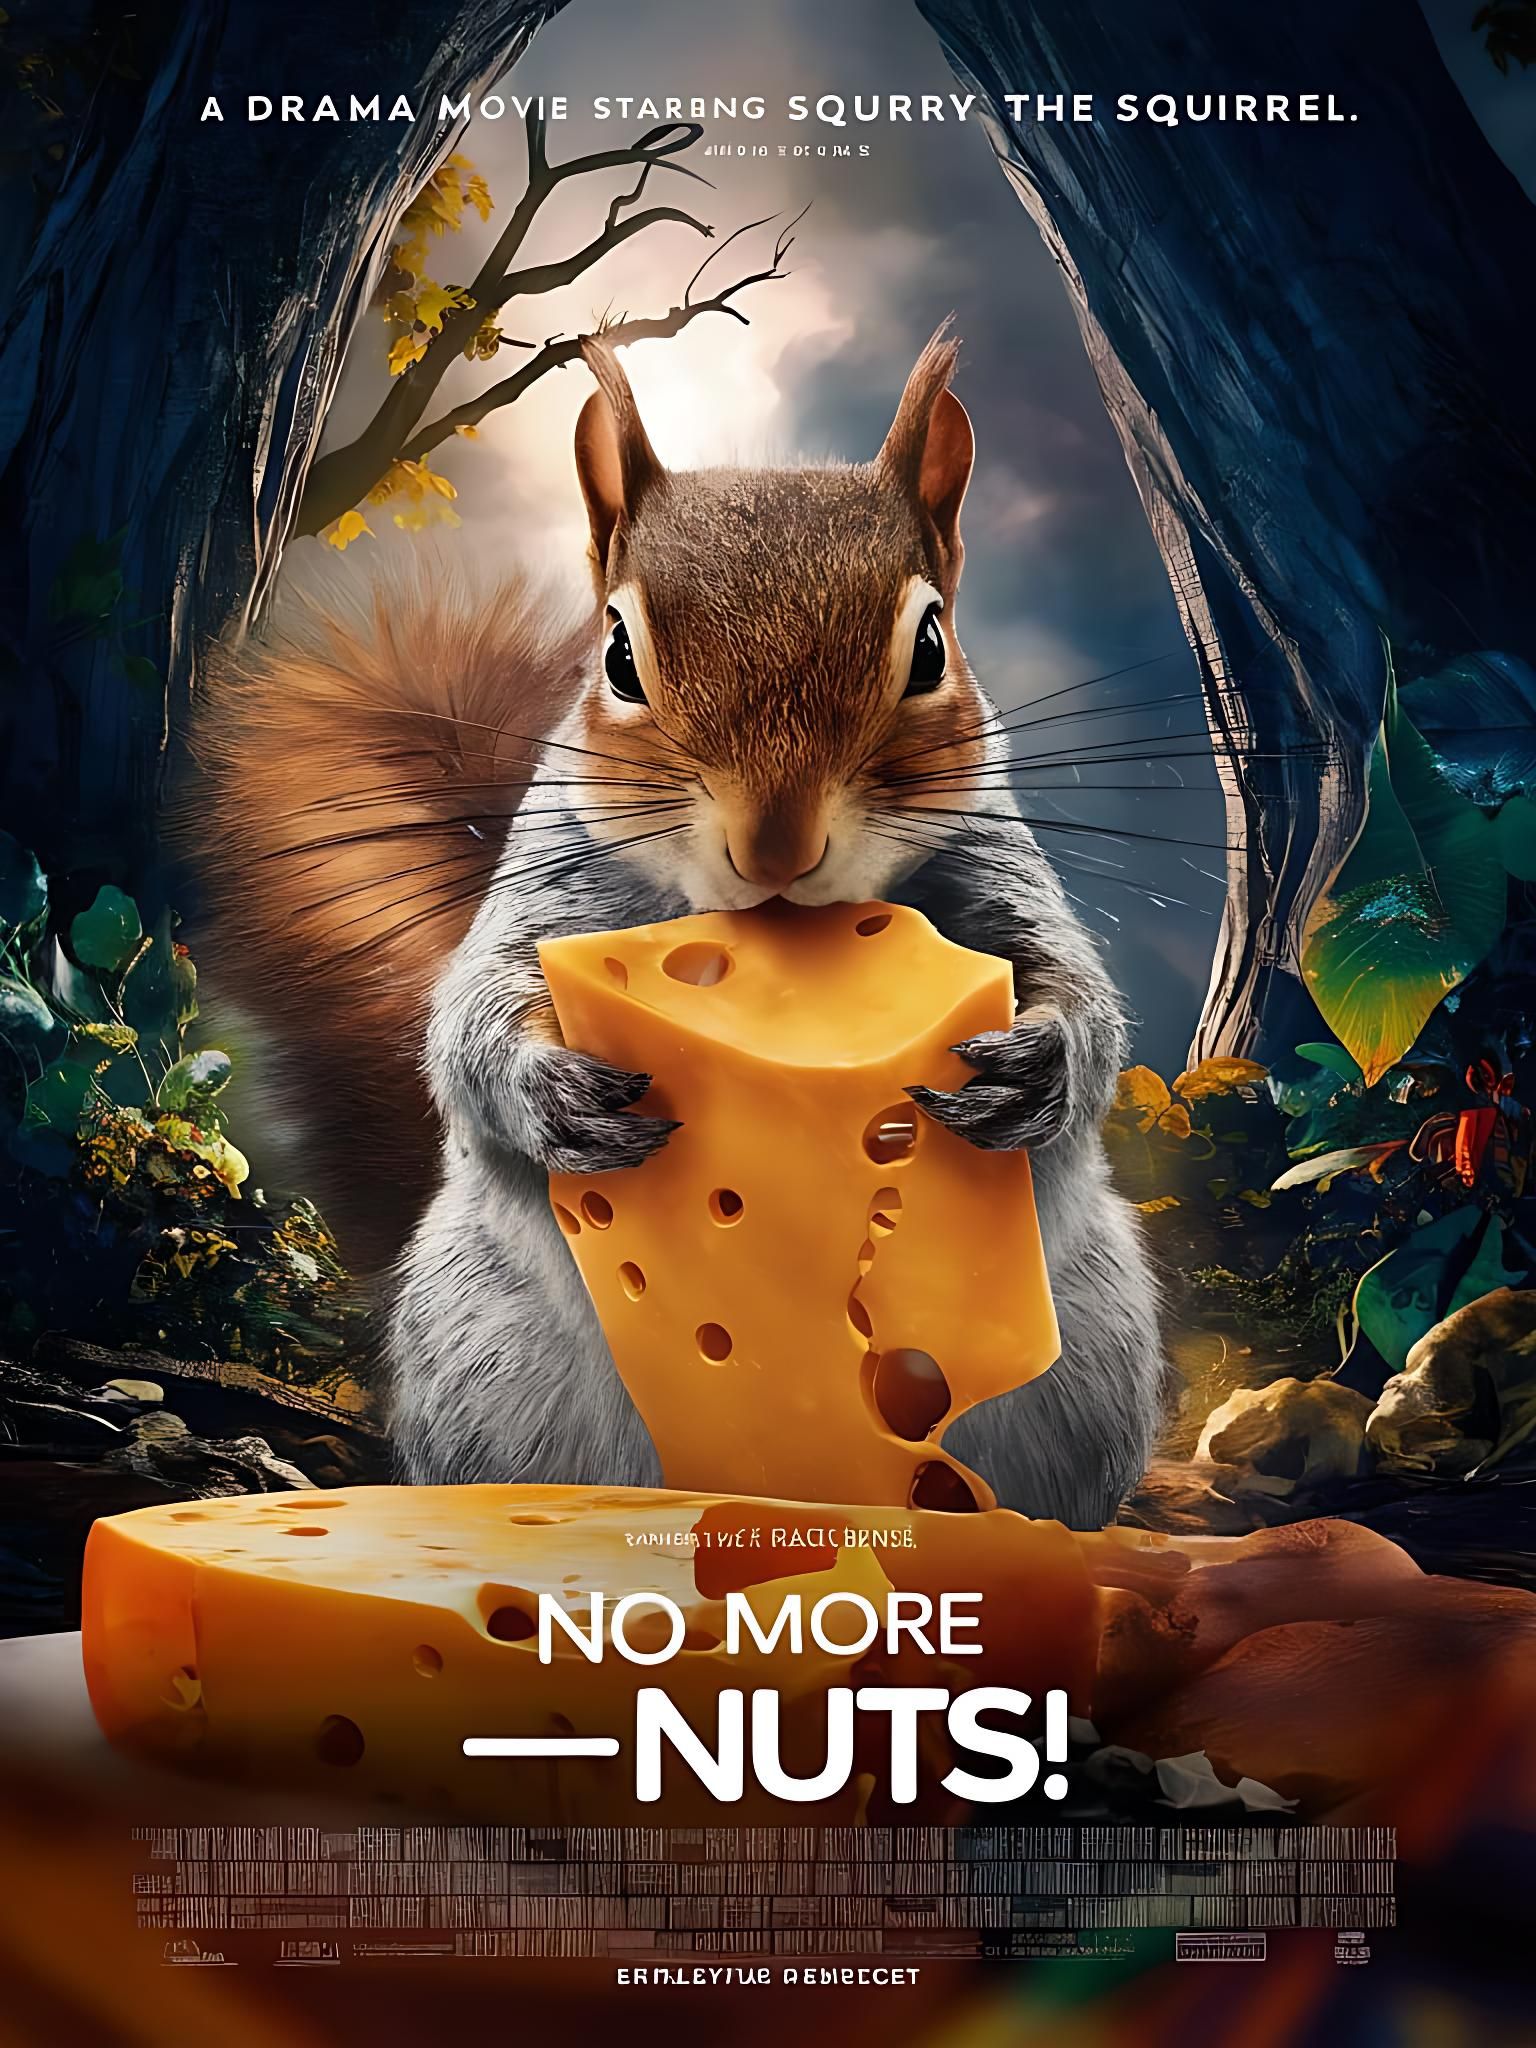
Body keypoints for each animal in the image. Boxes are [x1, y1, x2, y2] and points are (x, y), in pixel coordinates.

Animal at [196, 329, 1168, 1528]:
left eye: (933, 646)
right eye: (618, 654)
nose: (777, 847)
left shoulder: (1001, 868)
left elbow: (1079, 990)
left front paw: (1038, 1065)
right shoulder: (539, 890)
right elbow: (467, 1024)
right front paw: (549, 1092)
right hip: (487, 1359)